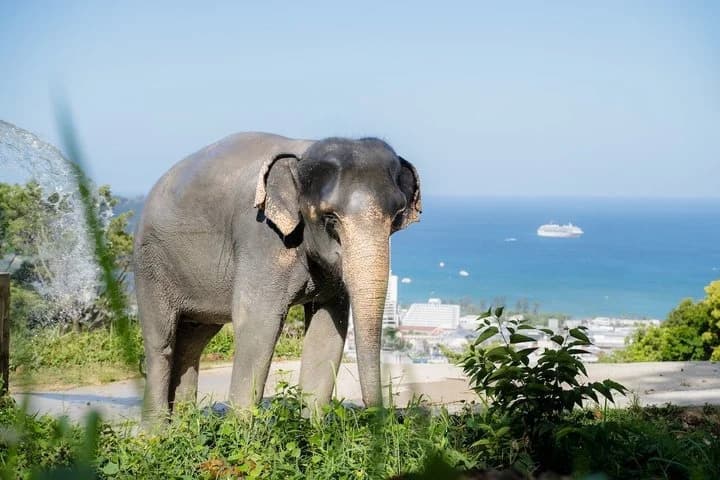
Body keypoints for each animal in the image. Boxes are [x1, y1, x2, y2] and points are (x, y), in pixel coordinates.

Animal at [133, 132, 421, 423]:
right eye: (330, 218)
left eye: (397, 215)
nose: (388, 417)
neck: (301, 156)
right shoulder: (262, 237)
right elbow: (257, 322)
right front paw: (240, 430)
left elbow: (328, 329)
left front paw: (312, 427)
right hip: (151, 264)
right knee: (161, 343)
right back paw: (156, 432)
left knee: (192, 342)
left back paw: (184, 425)